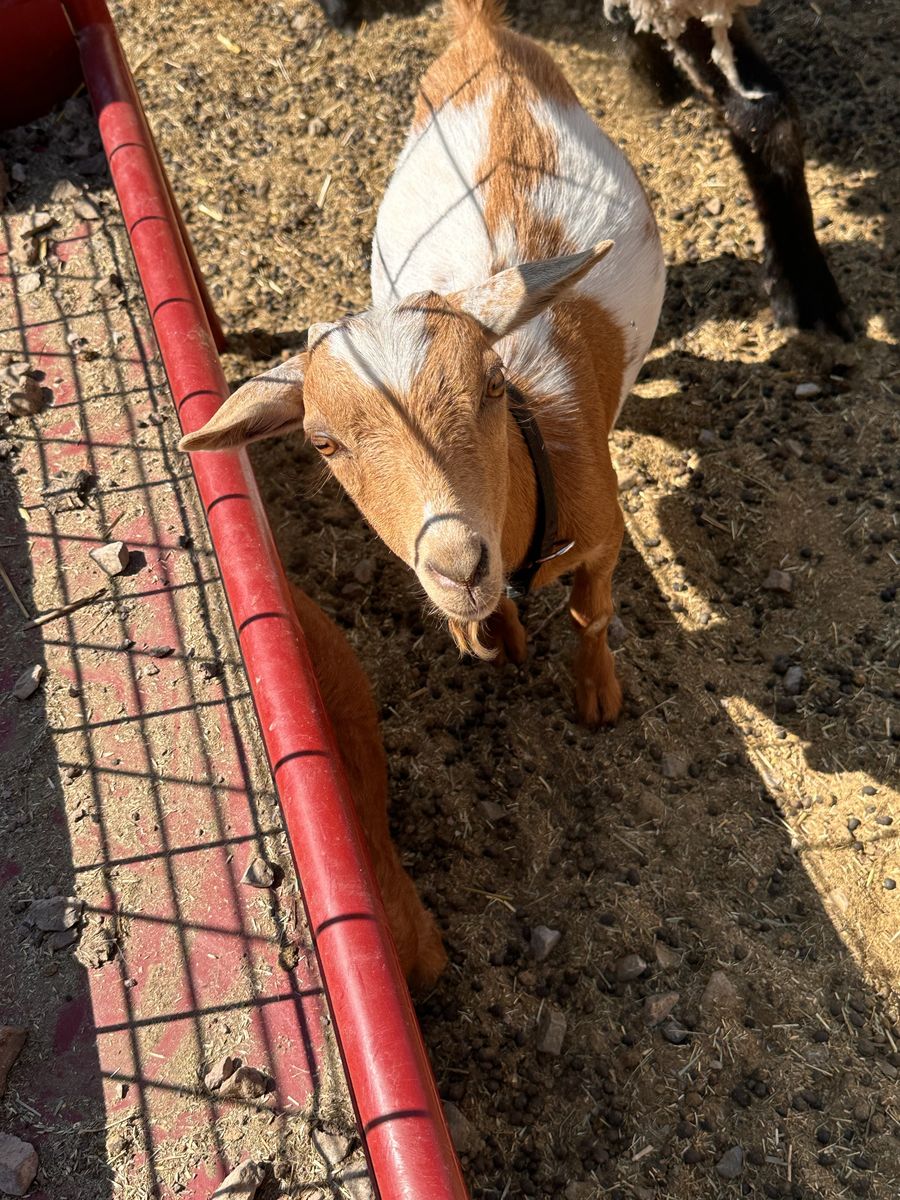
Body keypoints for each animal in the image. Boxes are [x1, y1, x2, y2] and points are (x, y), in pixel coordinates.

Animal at [181, 0, 666, 727]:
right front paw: (508, 640)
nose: (459, 567)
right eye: (322, 441)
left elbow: (592, 614)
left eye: (493, 383)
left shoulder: (606, 537)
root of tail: (482, 36)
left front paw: (598, 694)